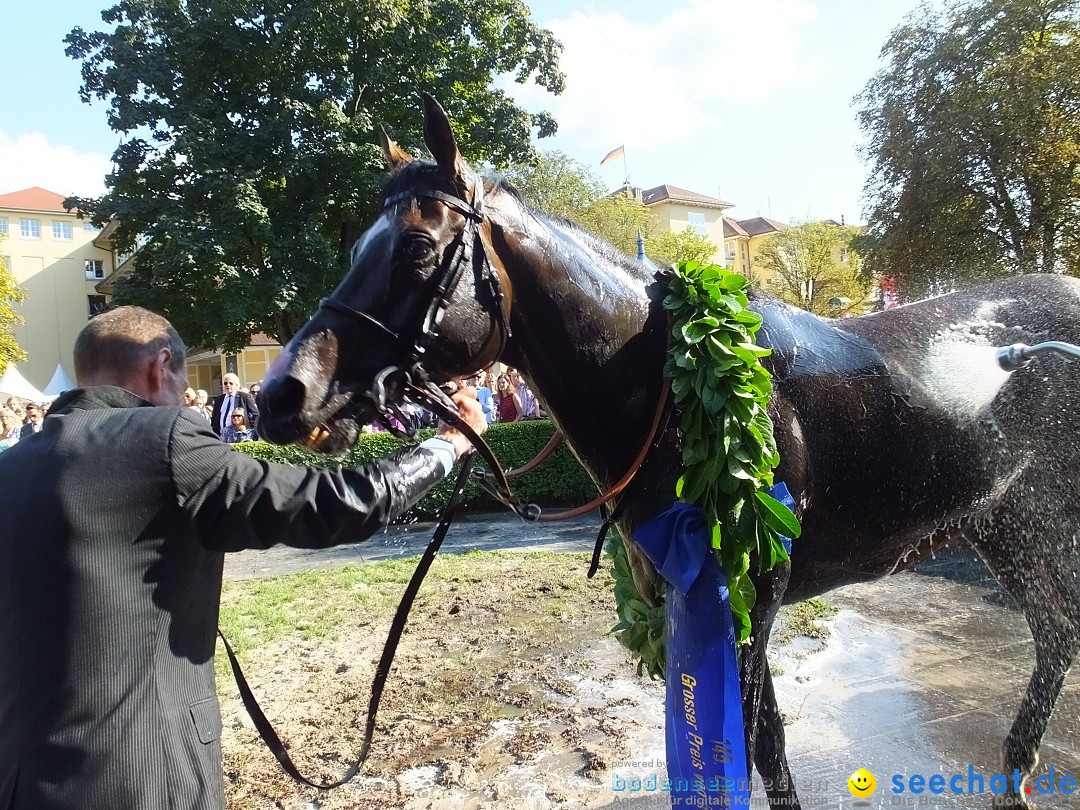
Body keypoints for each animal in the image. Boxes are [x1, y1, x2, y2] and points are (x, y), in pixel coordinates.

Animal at [259, 96, 1080, 810]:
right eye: (358, 247)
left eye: (418, 246)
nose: (282, 393)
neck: (678, 386)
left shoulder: (748, 595)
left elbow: (755, 747)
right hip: (1008, 524)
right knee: (1057, 632)